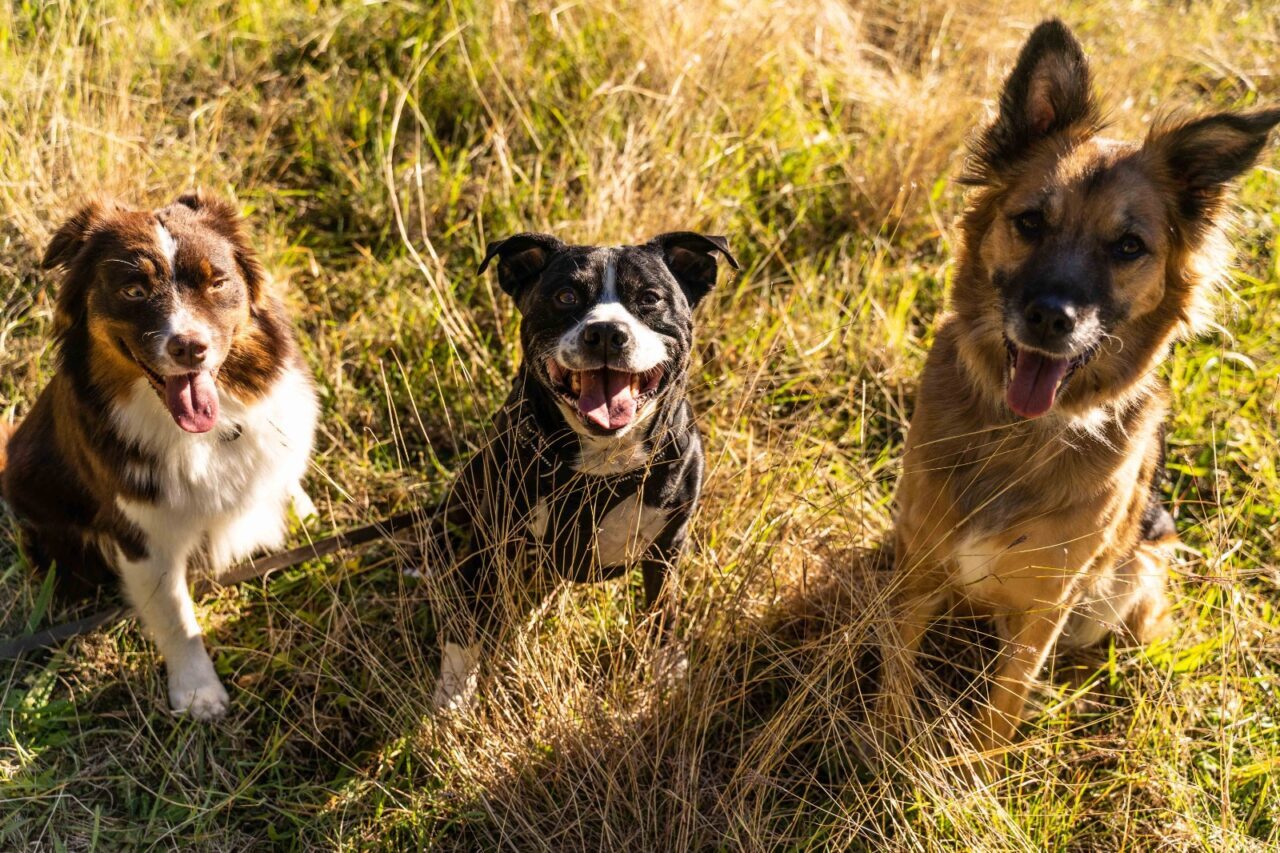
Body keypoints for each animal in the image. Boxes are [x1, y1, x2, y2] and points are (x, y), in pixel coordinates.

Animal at [0, 192, 317, 717]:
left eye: (217, 282)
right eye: (133, 290)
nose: (190, 348)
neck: (204, 434)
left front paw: (301, 509)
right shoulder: (143, 531)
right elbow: (175, 616)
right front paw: (197, 693)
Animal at [424, 229, 737, 706]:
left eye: (650, 298)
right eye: (566, 296)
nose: (606, 331)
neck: (603, 462)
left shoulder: (667, 547)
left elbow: (661, 616)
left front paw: (667, 676)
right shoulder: (490, 541)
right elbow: (466, 628)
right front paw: (453, 699)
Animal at [880, 21, 1280, 753]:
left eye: (1127, 247)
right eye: (1030, 222)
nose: (1049, 318)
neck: (1018, 436)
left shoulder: (1048, 604)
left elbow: (1005, 702)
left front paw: (978, 767)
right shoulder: (920, 560)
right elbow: (896, 666)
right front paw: (881, 741)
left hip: (1136, 576)